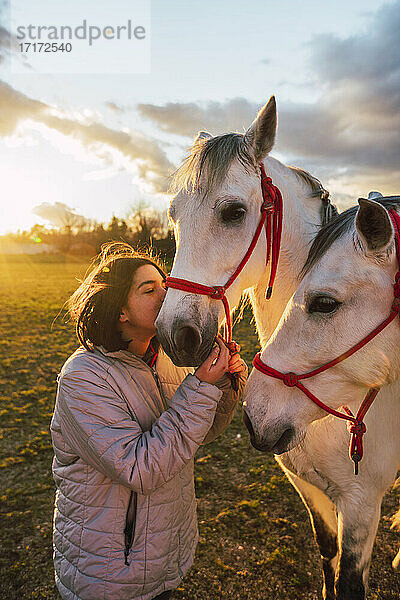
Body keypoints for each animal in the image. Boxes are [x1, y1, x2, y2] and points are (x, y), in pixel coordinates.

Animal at [244, 196, 400, 596]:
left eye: (325, 303)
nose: (254, 417)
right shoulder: (306, 487)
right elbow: (326, 549)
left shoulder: (361, 504)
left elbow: (349, 583)